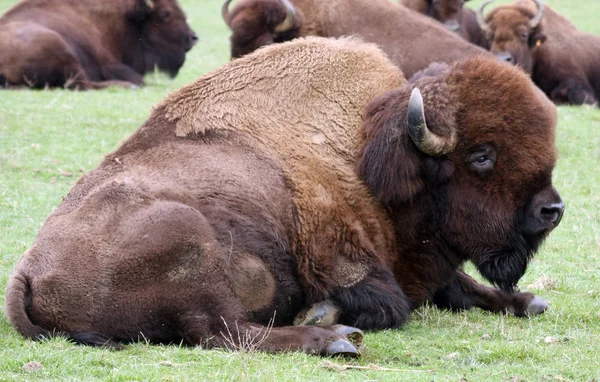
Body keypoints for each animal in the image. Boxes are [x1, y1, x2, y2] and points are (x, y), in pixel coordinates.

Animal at [0, 0, 198, 89]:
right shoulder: (110, 64)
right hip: (59, 48)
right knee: (83, 84)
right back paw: (126, 86)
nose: (193, 37)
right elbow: (137, 78)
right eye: (166, 14)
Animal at [4, 36, 564, 356]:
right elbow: (394, 305)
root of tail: (27, 272)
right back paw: (333, 338)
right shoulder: (349, 263)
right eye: (482, 155)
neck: (367, 154)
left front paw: (528, 300)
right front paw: (325, 314)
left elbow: (462, 286)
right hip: (187, 237)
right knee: (223, 333)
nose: (552, 210)